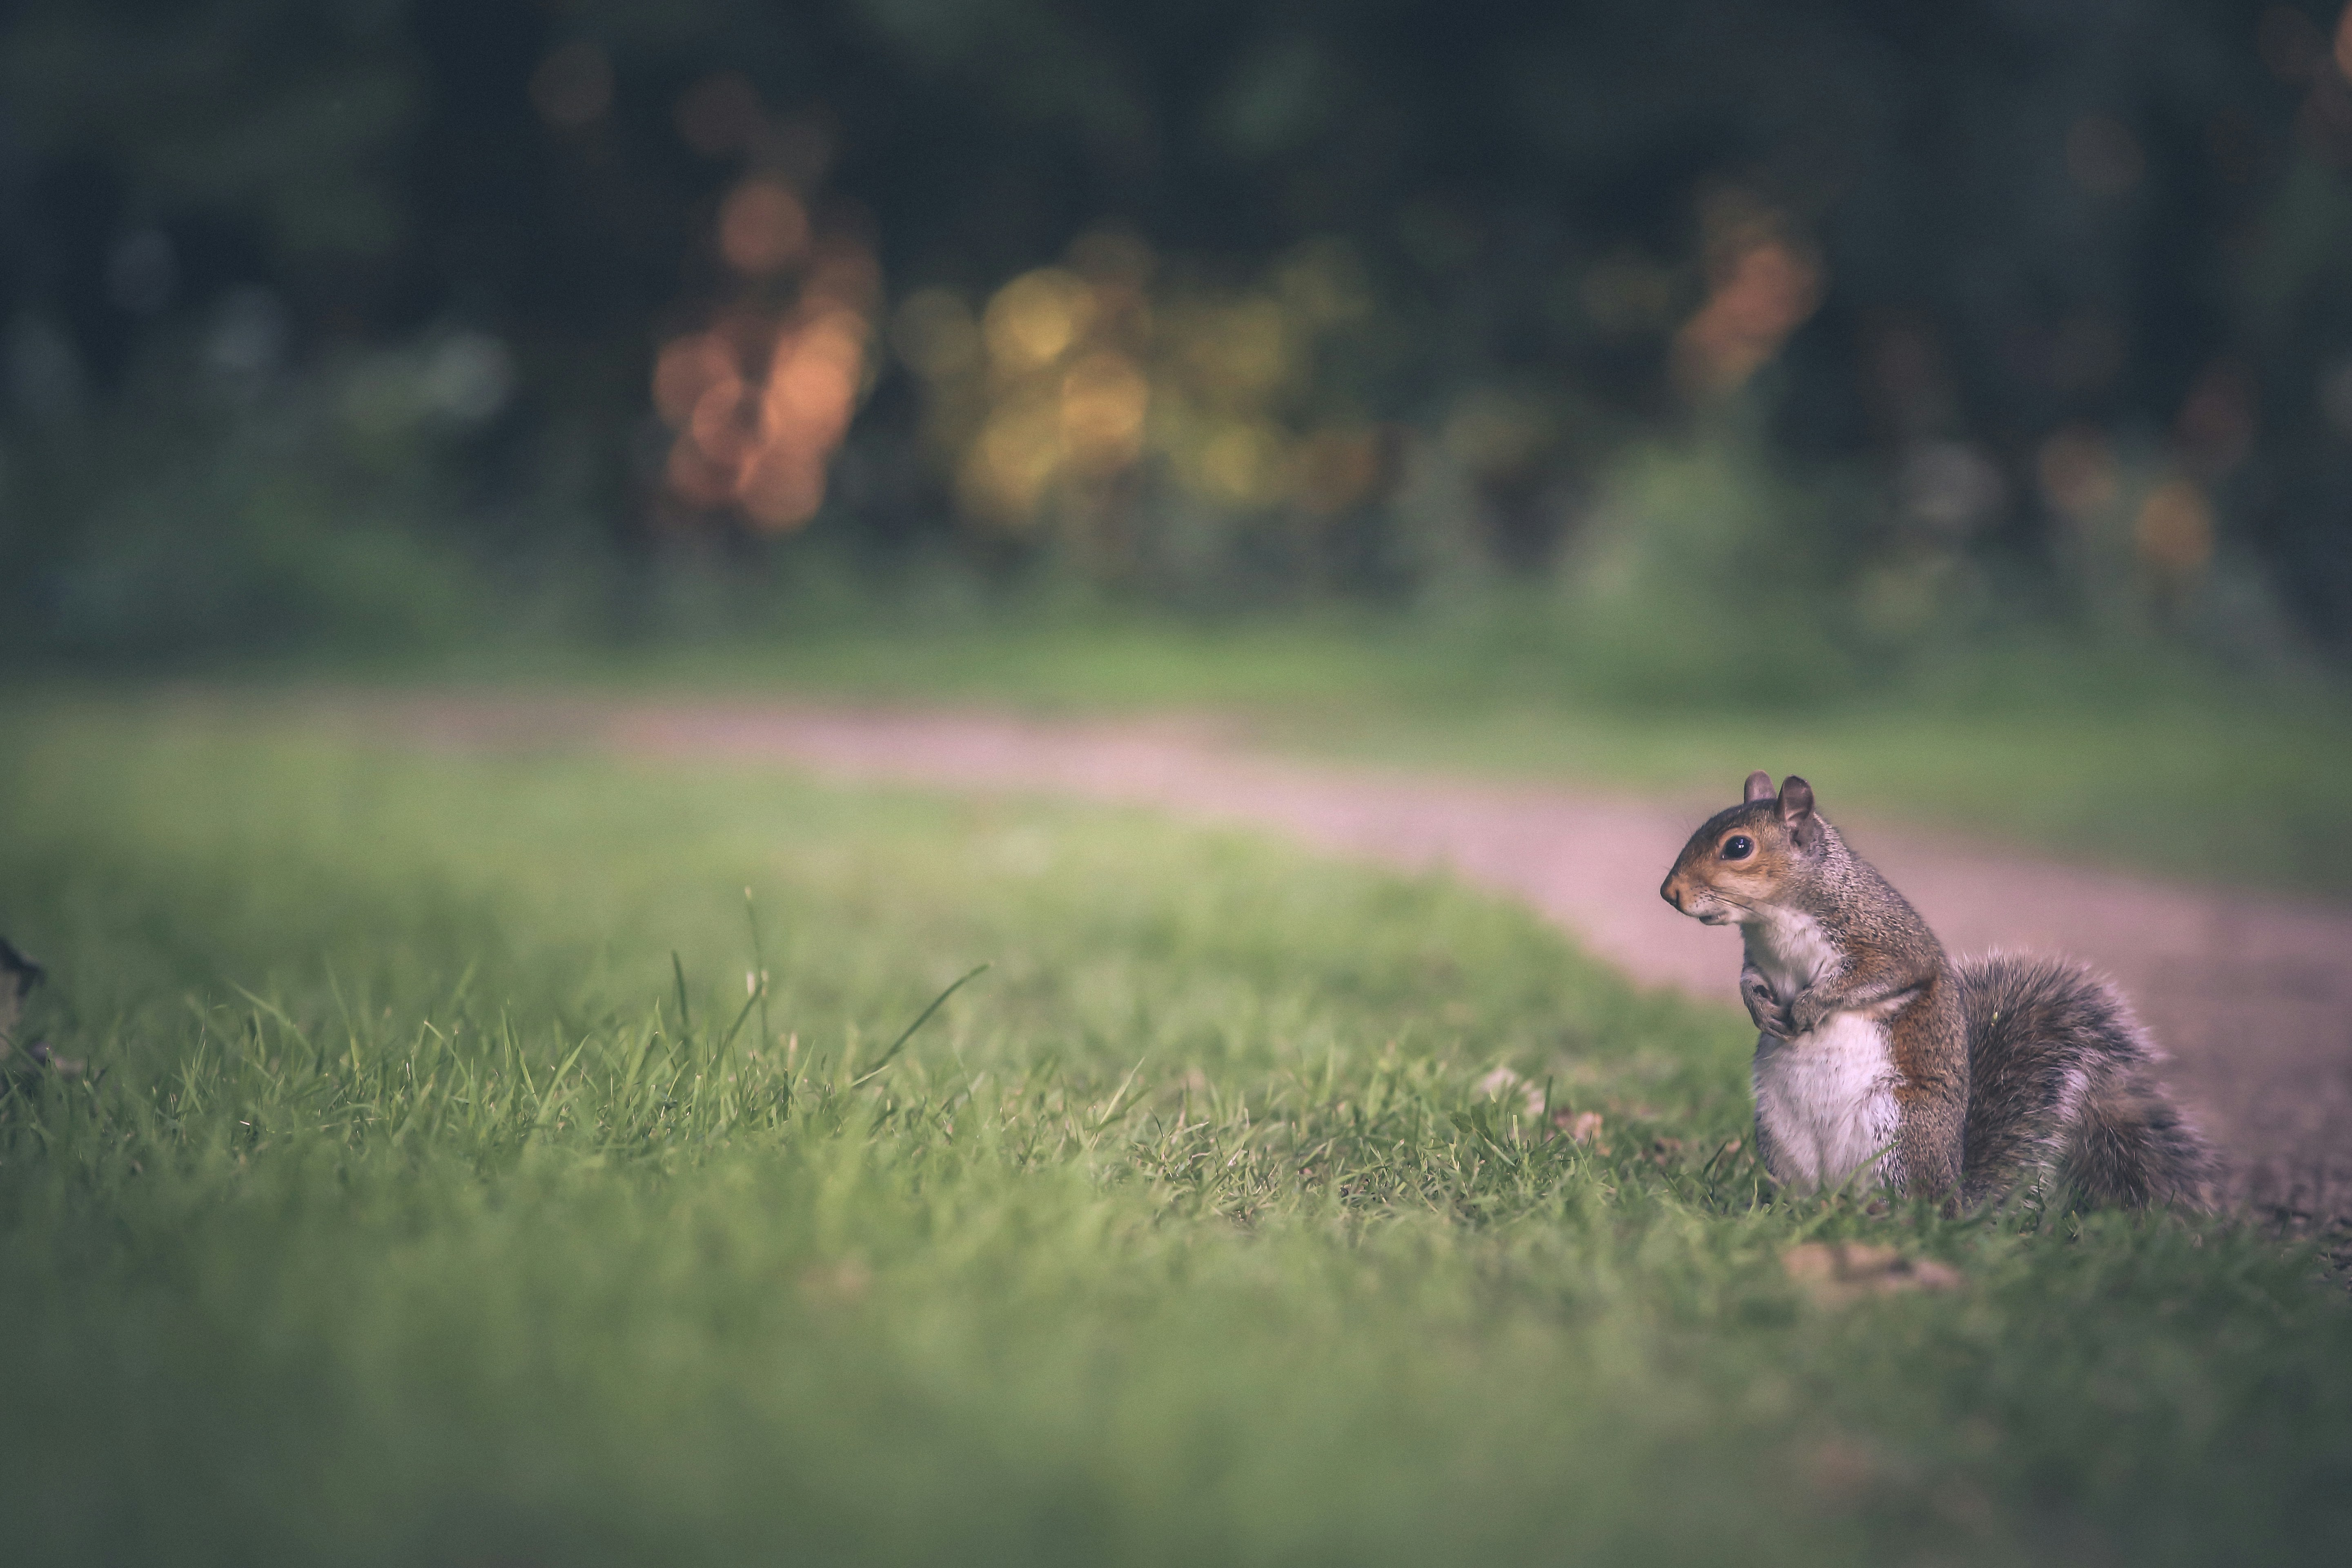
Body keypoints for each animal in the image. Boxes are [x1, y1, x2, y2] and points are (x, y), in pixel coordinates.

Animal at [1659, 772, 2213, 1208]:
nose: (1670, 893)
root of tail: (1953, 1194)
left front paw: (1813, 1005)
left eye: (1738, 847)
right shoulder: (1759, 958)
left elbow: (1874, 978)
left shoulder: (1888, 944)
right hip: (1780, 1136)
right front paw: (1760, 1009)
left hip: (1898, 1132)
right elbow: (1750, 980)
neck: (1773, 918)